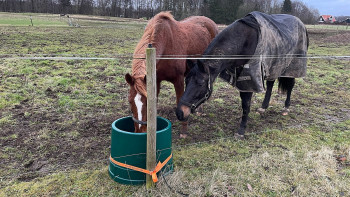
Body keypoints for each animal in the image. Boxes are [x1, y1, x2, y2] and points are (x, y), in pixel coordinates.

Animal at [176, 11, 308, 138]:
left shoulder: (249, 80)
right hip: (274, 66)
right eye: (186, 81)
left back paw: (286, 108)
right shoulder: (241, 79)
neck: (243, 42)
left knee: (290, 85)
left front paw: (241, 131)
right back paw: (263, 107)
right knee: (271, 84)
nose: (180, 113)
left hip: (292, 67)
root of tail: (302, 24)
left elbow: (246, 105)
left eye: (200, 84)